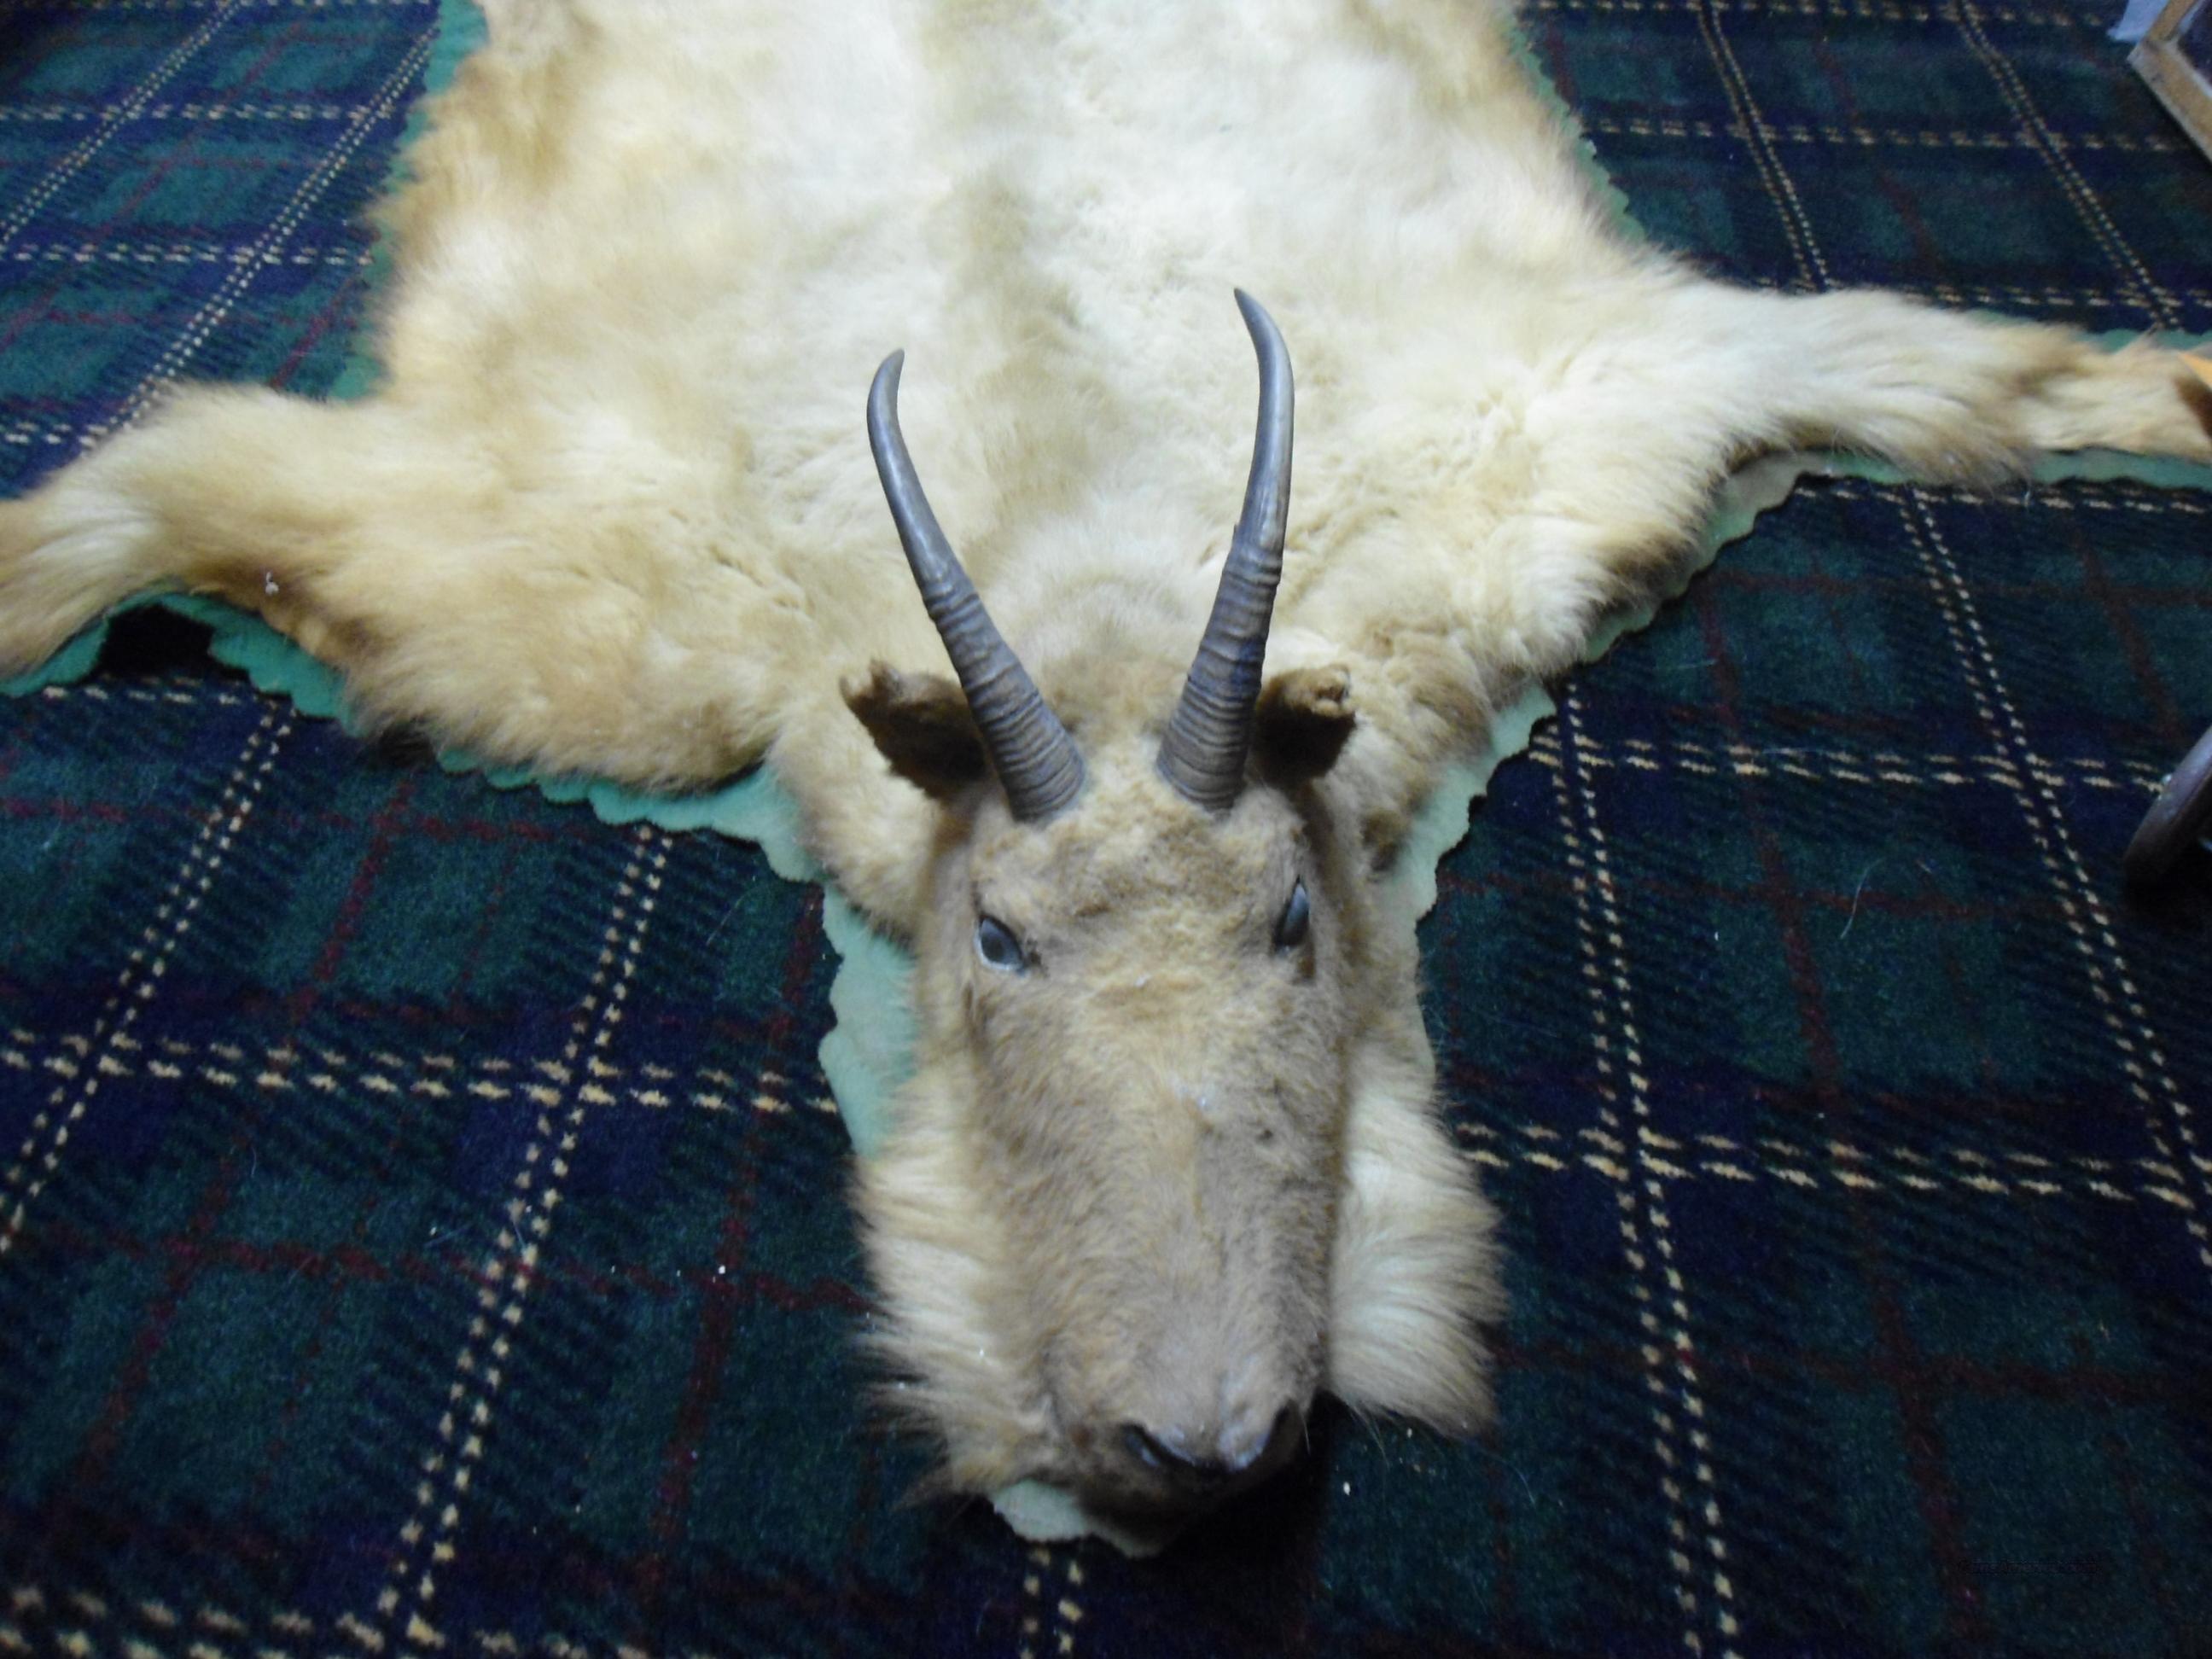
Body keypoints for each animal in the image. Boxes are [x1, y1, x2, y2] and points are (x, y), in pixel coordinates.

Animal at [3, 0, 2205, 1541]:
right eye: (993, 941)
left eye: (1299, 917)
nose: (1196, 1446)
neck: (1100, 589)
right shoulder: (549, 581)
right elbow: (93, 529)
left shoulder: (1601, 415)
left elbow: (2011, 371)